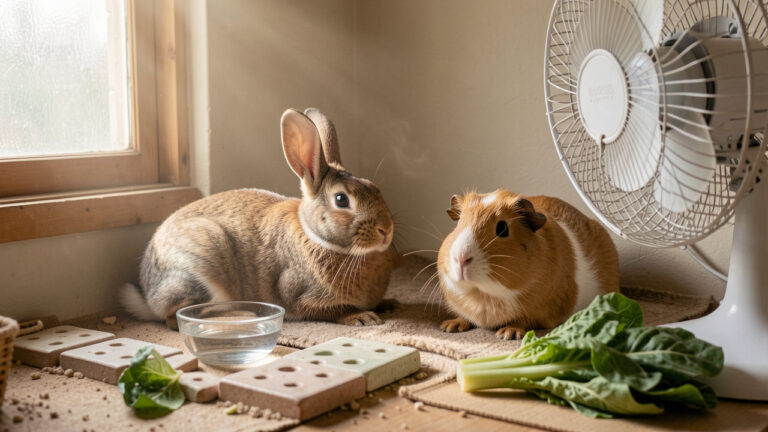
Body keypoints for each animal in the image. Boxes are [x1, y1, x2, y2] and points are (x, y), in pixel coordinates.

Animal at [120, 108, 395, 329]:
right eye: (341, 200)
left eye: (375, 187)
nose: (386, 230)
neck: (317, 238)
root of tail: (148, 296)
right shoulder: (298, 293)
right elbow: (332, 309)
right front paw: (362, 317)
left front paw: (389, 303)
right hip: (199, 264)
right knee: (175, 318)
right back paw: (242, 314)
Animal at [437, 190, 619, 340]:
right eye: (459, 224)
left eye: (502, 228)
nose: (461, 258)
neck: (482, 295)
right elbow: (464, 316)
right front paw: (449, 327)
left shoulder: (542, 312)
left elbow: (523, 320)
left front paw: (507, 334)